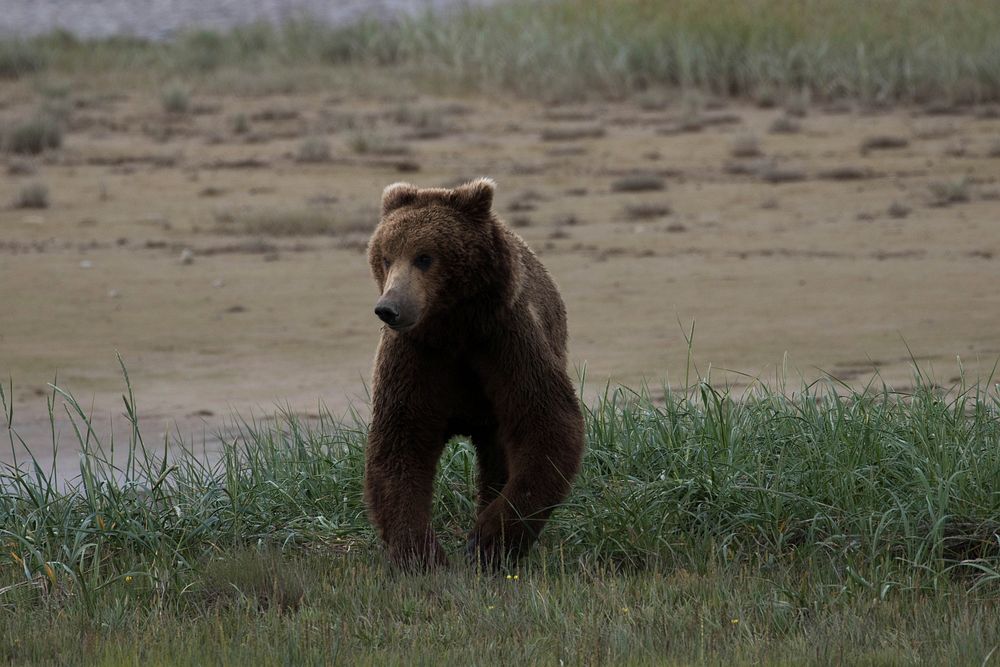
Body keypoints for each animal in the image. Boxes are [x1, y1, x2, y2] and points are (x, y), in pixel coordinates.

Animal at [366, 180, 584, 572]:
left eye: (424, 256)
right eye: (386, 256)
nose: (389, 308)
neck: (454, 328)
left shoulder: (504, 341)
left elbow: (547, 424)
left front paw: (486, 542)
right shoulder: (417, 358)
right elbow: (400, 440)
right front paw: (422, 555)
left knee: (500, 455)